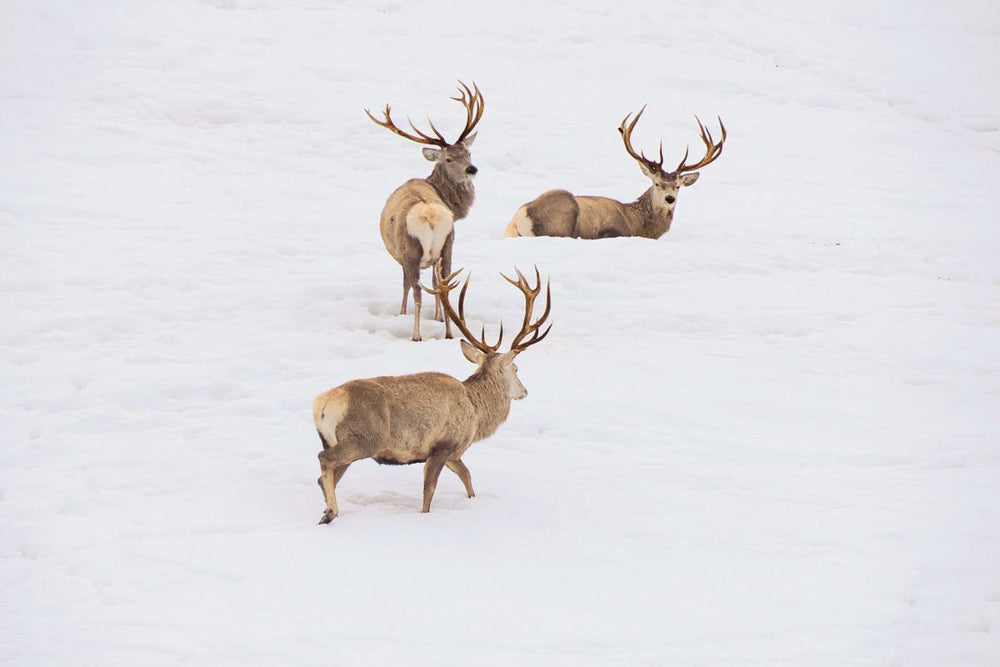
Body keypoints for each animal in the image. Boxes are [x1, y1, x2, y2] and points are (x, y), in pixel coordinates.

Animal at [313, 263, 552, 523]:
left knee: (324, 477)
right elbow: (429, 491)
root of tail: (321, 406)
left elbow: (467, 476)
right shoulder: (443, 446)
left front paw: (472, 500)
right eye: (516, 369)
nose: (525, 390)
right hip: (363, 439)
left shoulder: (452, 453)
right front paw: (425, 515)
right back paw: (330, 512)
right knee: (324, 459)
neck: (475, 411)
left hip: (332, 439)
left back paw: (326, 511)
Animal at [366, 81, 485, 341]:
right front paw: (439, 319)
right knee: (444, 287)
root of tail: (430, 215)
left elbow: (406, 286)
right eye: (449, 159)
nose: (472, 169)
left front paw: (402, 314)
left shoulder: (403, 256)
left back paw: (416, 335)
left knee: (417, 291)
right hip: (447, 246)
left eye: (468, 153)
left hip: (411, 249)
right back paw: (449, 333)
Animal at [504, 106, 726, 240]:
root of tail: (521, 219)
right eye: (656, 183)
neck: (639, 225)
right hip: (564, 212)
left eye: (677, 186)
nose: (670, 199)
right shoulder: (613, 230)